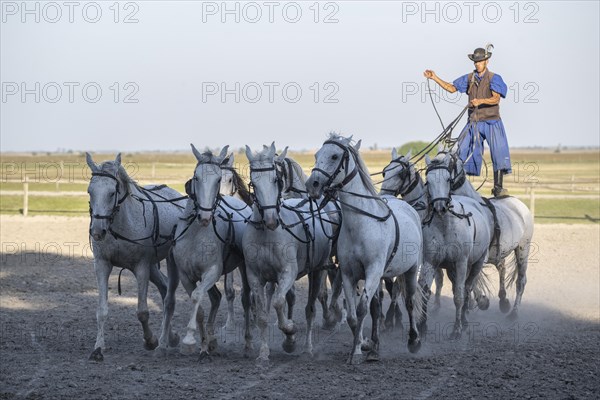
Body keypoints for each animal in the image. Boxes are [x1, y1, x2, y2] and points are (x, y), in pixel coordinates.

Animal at [84, 152, 183, 360]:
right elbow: (101, 310)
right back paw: (171, 337)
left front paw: (150, 341)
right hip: (153, 266)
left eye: (111, 192)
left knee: (168, 293)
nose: (97, 231)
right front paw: (98, 348)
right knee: (164, 289)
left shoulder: (141, 267)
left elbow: (142, 312)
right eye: (90, 191)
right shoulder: (102, 265)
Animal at [157, 145, 251, 358]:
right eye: (197, 177)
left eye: (218, 179)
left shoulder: (212, 272)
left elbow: (197, 296)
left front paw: (189, 339)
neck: (196, 233)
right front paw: (201, 344)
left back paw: (248, 342)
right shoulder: (186, 275)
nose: (205, 216)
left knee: (247, 299)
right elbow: (198, 306)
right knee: (214, 297)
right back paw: (210, 342)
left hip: (244, 268)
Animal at [244, 143, 338, 360]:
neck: (266, 235)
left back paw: (309, 347)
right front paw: (263, 353)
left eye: (276, 179)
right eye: (253, 182)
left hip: (317, 270)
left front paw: (290, 333)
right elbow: (263, 315)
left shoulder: (288, 272)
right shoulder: (255, 277)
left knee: (311, 308)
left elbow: (279, 303)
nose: (271, 219)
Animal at [308, 135, 424, 366]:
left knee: (408, 302)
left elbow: (362, 310)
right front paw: (362, 346)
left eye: (334, 156)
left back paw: (413, 341)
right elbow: (354, 315)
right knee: (377, 307)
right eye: (316, 155)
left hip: (409, 270)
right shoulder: (348, 274)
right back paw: (374, 346)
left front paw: (357, 352)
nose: (312, 184)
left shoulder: (372, 270)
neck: (361, 224)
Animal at [438, 148, 532, 318]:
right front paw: (474, 303)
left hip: (523, 248)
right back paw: (503, 301)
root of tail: (518, 204)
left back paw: (514, 313)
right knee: (502, 268)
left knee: (521, 281)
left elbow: (471, 280)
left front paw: (479, 301)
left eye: (449, 163)